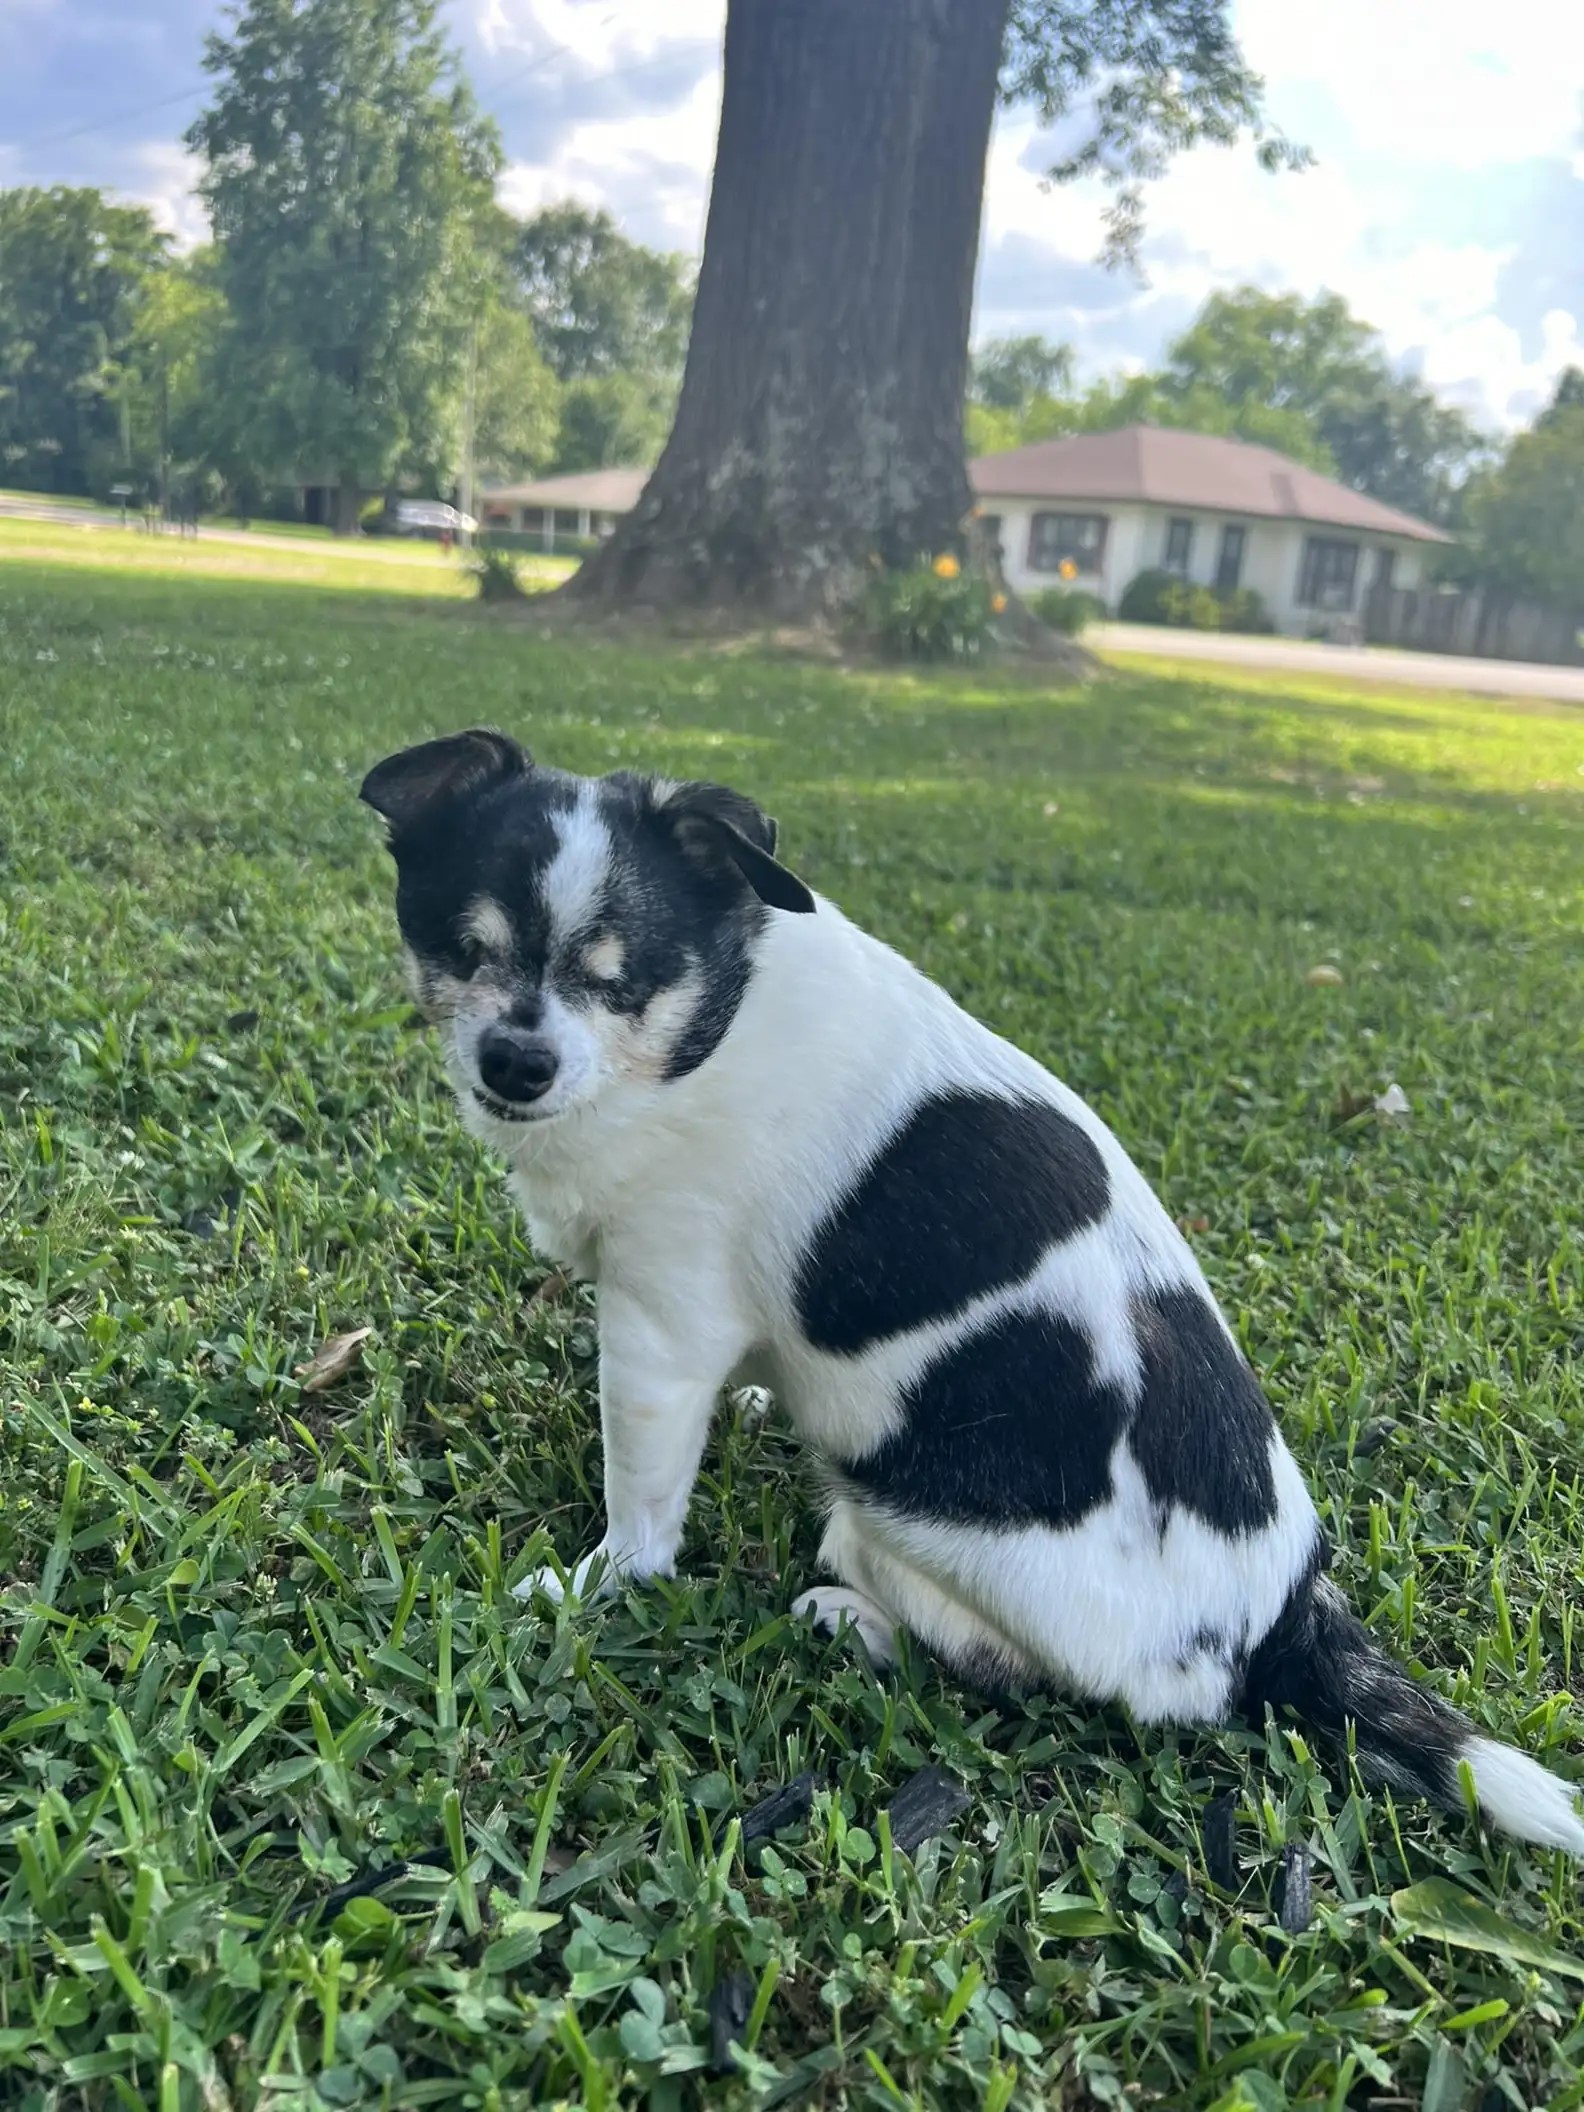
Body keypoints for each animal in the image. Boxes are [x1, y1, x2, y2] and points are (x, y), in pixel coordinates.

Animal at [363, 734, 1584, 1858]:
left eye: (619, 982)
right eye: (461, 951)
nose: (517, 1060)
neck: (707, 1026)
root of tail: (1280, 1616)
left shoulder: (660, 1328)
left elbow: (643, 1512)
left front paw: (594, 1584)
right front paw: (751, 1404)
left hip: (893, 1524)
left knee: (995, 1666)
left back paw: (850, 1619)